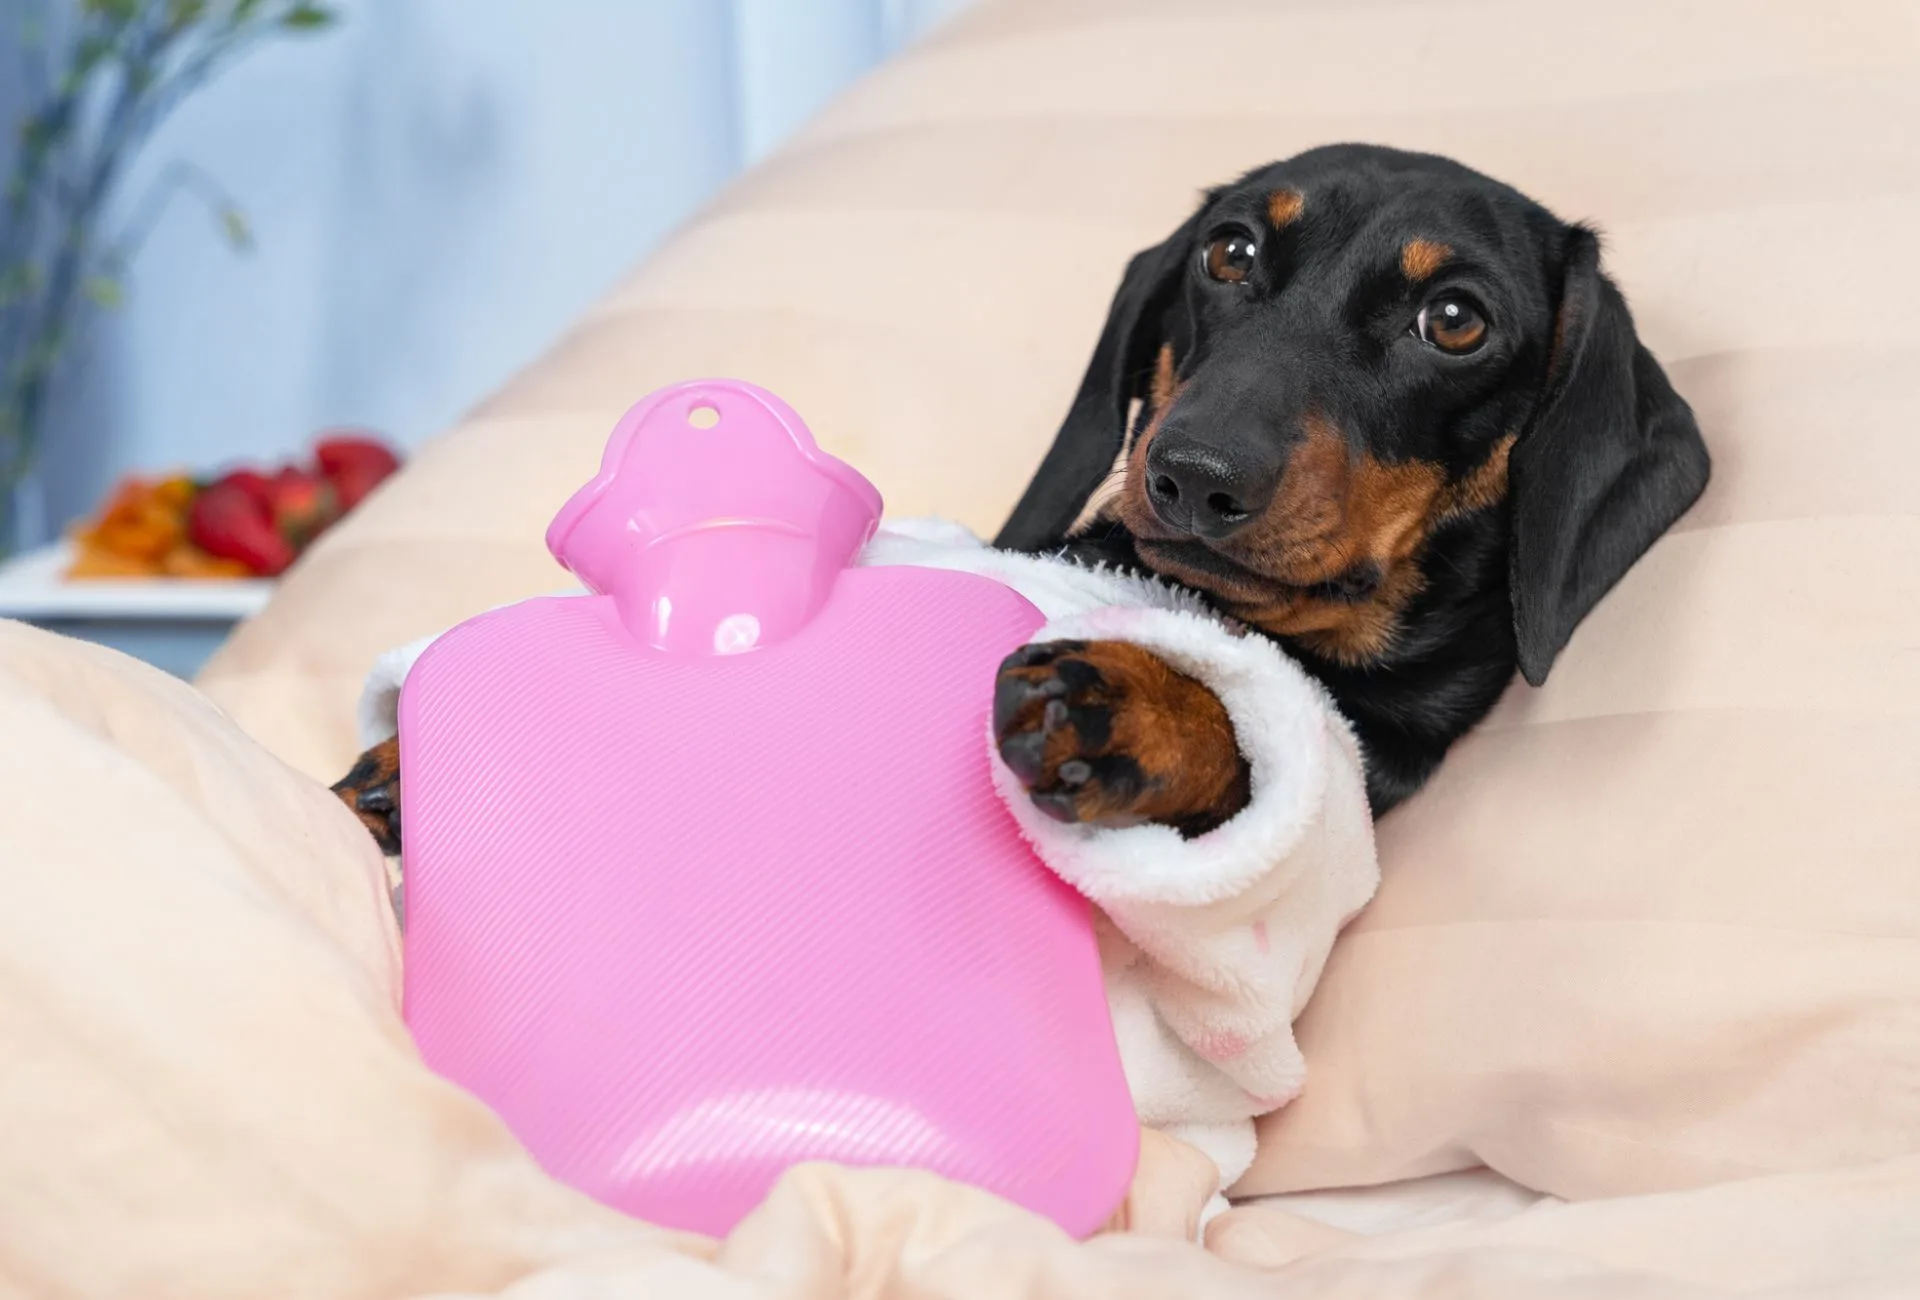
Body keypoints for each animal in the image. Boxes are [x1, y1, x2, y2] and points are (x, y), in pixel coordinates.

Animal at [334, 146, 1712, 844]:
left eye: (1456, 320)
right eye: (1230, 250)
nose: (1193, 473)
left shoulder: (1358, 758)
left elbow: (1253, 737)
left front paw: (1137, 707)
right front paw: (422, 752)